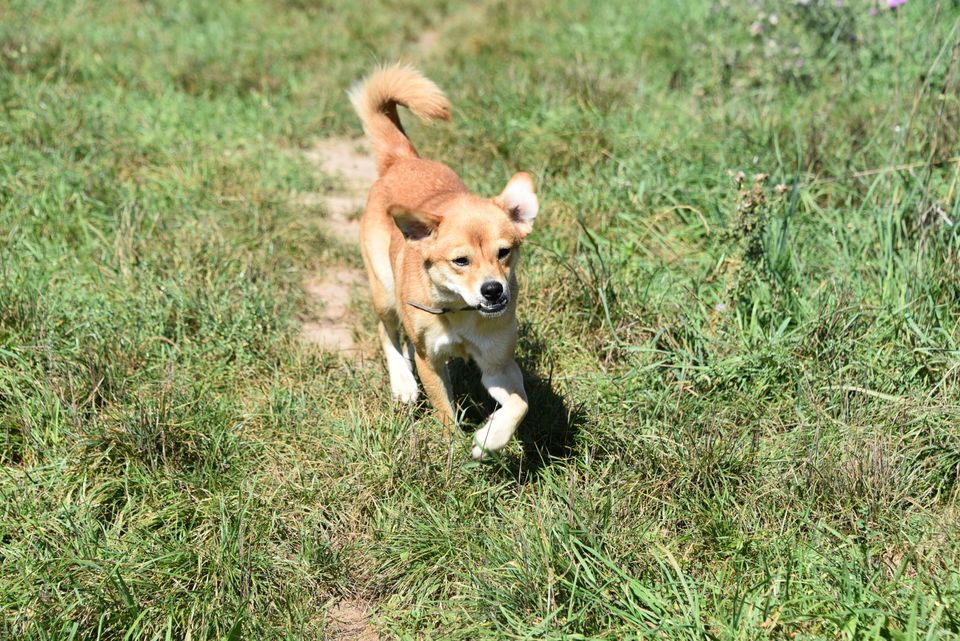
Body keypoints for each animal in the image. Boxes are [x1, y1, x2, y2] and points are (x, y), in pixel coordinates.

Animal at [346, 62, 540, 458]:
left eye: (504, 252)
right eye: (460, 261)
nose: (493, 291)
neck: (459, 310)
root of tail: (403, 159)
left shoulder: (497, 363)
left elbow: (519, 404)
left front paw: (489, 438)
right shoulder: (429, 359)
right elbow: (444, 410)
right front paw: (453, 450)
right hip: (384, 290)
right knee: (387, 331)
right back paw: (403, 383)